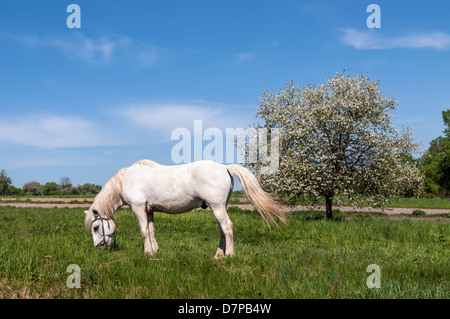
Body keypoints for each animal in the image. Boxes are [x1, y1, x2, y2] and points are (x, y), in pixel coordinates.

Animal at [84, 160, 286, 260]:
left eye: (96, 227)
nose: (98, 248)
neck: (127, 180)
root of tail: (225, 168)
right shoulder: (149, 210)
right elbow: (151, 231)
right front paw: (155, 251)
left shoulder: (138, 208)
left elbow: (143, 232)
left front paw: (147, 253)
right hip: (220, 207)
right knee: (222, 229)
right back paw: (218, 255)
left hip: (217, 207)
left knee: (228, 227)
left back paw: (230, 255)